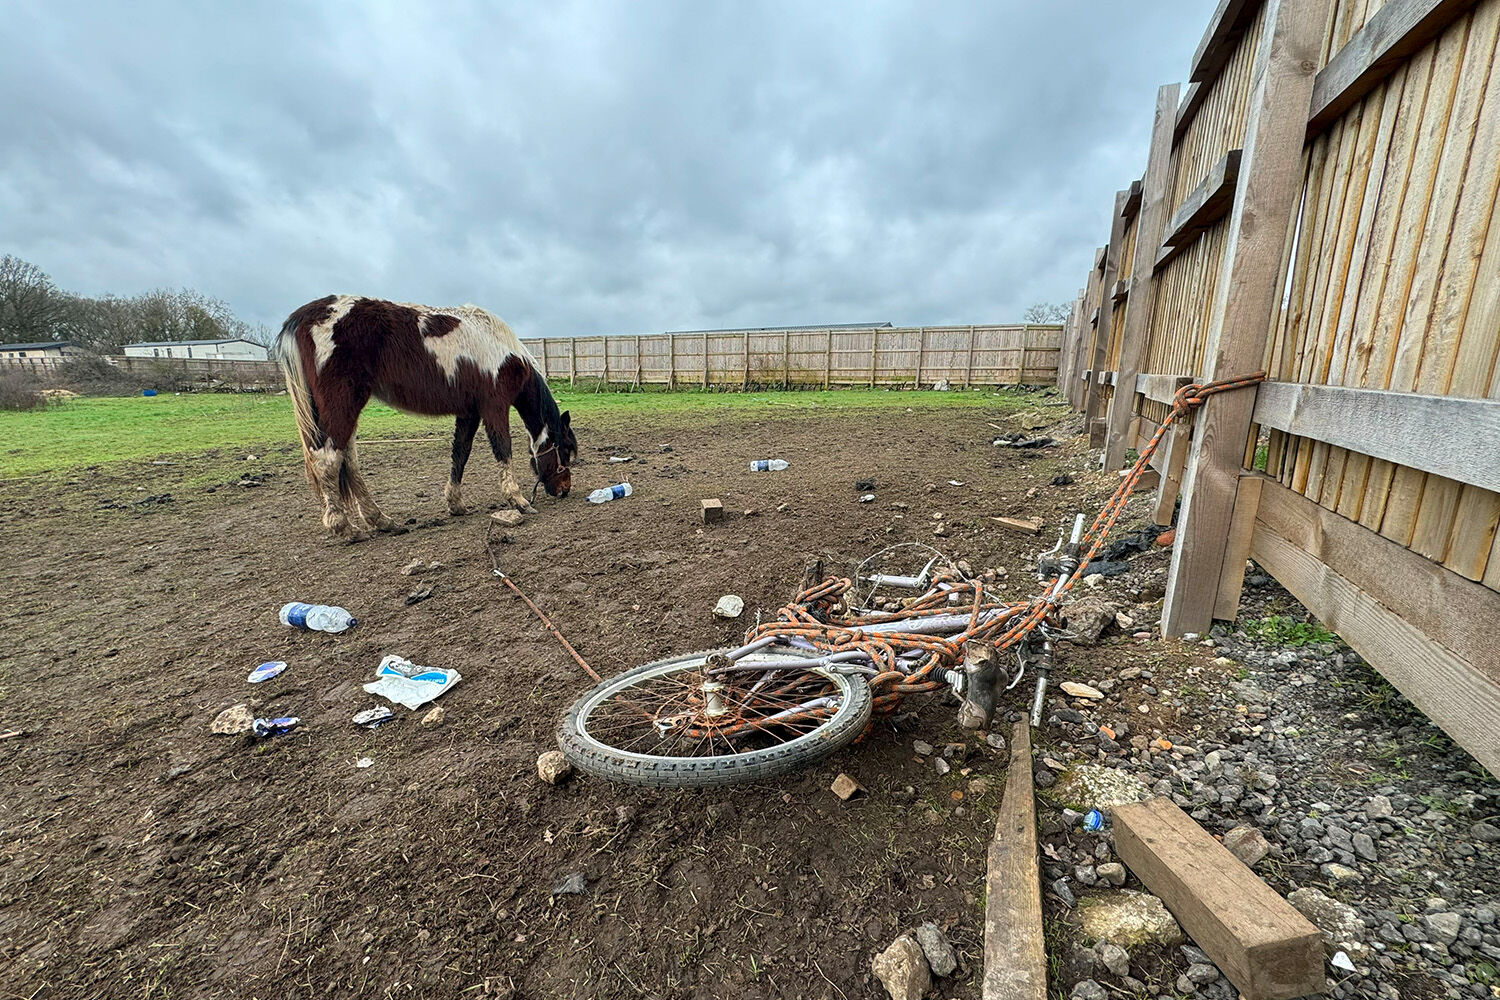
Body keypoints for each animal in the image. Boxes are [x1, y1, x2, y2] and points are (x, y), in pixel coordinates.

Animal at [273, 295, 576, 539]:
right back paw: (345, 527)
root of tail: (305, 317)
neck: (502, 349)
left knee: (349, 462)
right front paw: (518, 500)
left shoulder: (469, 413)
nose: (564, 489)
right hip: (342, 404)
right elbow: (503, 450)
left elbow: (460, 453)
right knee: (329, 460)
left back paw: (381, 521)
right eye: (565, 450)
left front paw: (455, 504)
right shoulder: (494, 407)